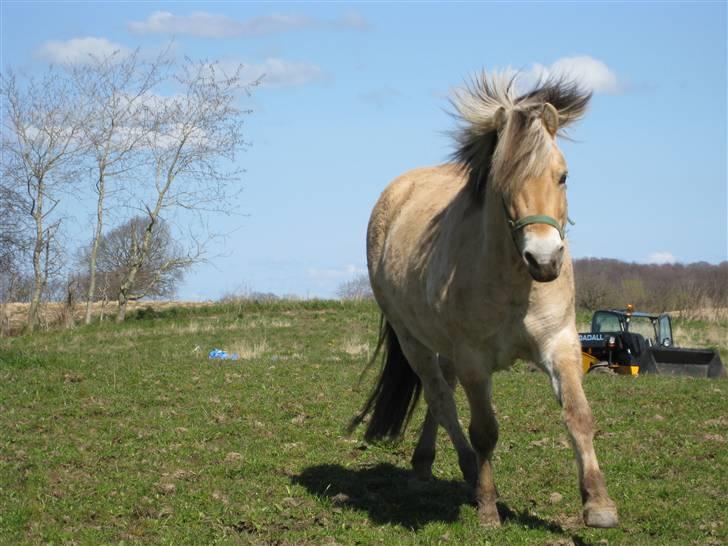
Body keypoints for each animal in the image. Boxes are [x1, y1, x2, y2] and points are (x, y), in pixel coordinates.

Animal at [352, 73, 620, 528]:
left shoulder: (561, 344)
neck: (514, 282)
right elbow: (484, 431)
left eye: (563, 176)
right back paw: (466, 473)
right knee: (441, 399)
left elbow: (579, 416)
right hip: (413, 340)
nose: (544, 259)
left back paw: (425, 464)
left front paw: (599, 505)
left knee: (441, 391)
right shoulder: (475, 360)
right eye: (503, 182)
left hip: (445, 348)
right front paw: (489, 508)